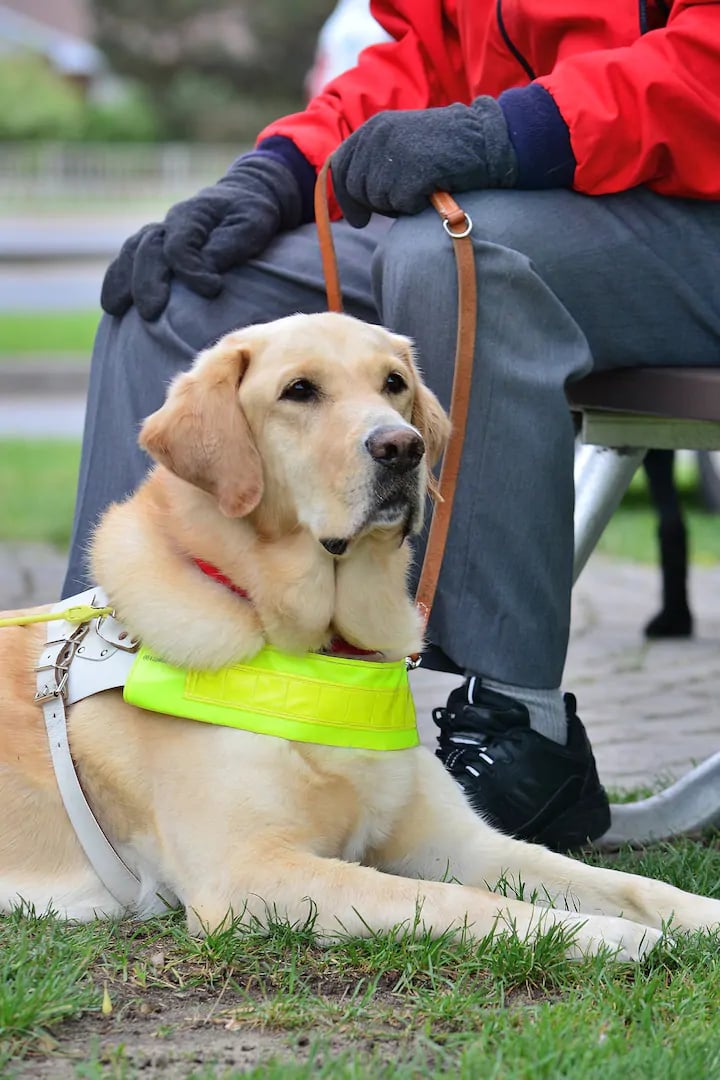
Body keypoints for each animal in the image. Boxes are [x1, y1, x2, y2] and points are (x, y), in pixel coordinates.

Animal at [1, 308, 720, 959]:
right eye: (299, 390)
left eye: (393, 383)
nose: (403, 446)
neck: (321, 650)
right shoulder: (249, 874)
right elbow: (456, 900)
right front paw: (603, 935)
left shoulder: (461, 840)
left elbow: (624, 882)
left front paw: (693, 915)